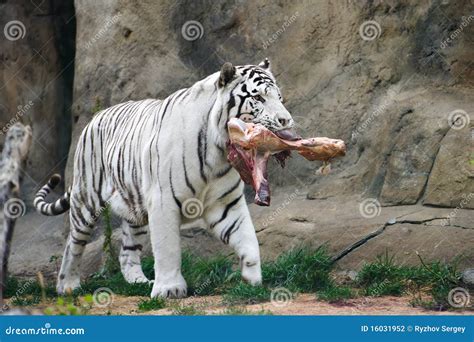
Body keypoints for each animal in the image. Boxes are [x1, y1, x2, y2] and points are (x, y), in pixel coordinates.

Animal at [33, 60, 294, 298]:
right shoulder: (163, 201)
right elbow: (167, 248)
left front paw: (252, 280)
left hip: (134, 208)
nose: (286, 120)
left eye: (279, 97)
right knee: (73, 243)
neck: (218, 153)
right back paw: (67, 286)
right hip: (86, 200)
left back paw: (138, 282)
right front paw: (169, 289)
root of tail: (96, 116)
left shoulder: (226, 203)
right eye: (258, 98)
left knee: (126, 252)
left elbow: (248, 239)